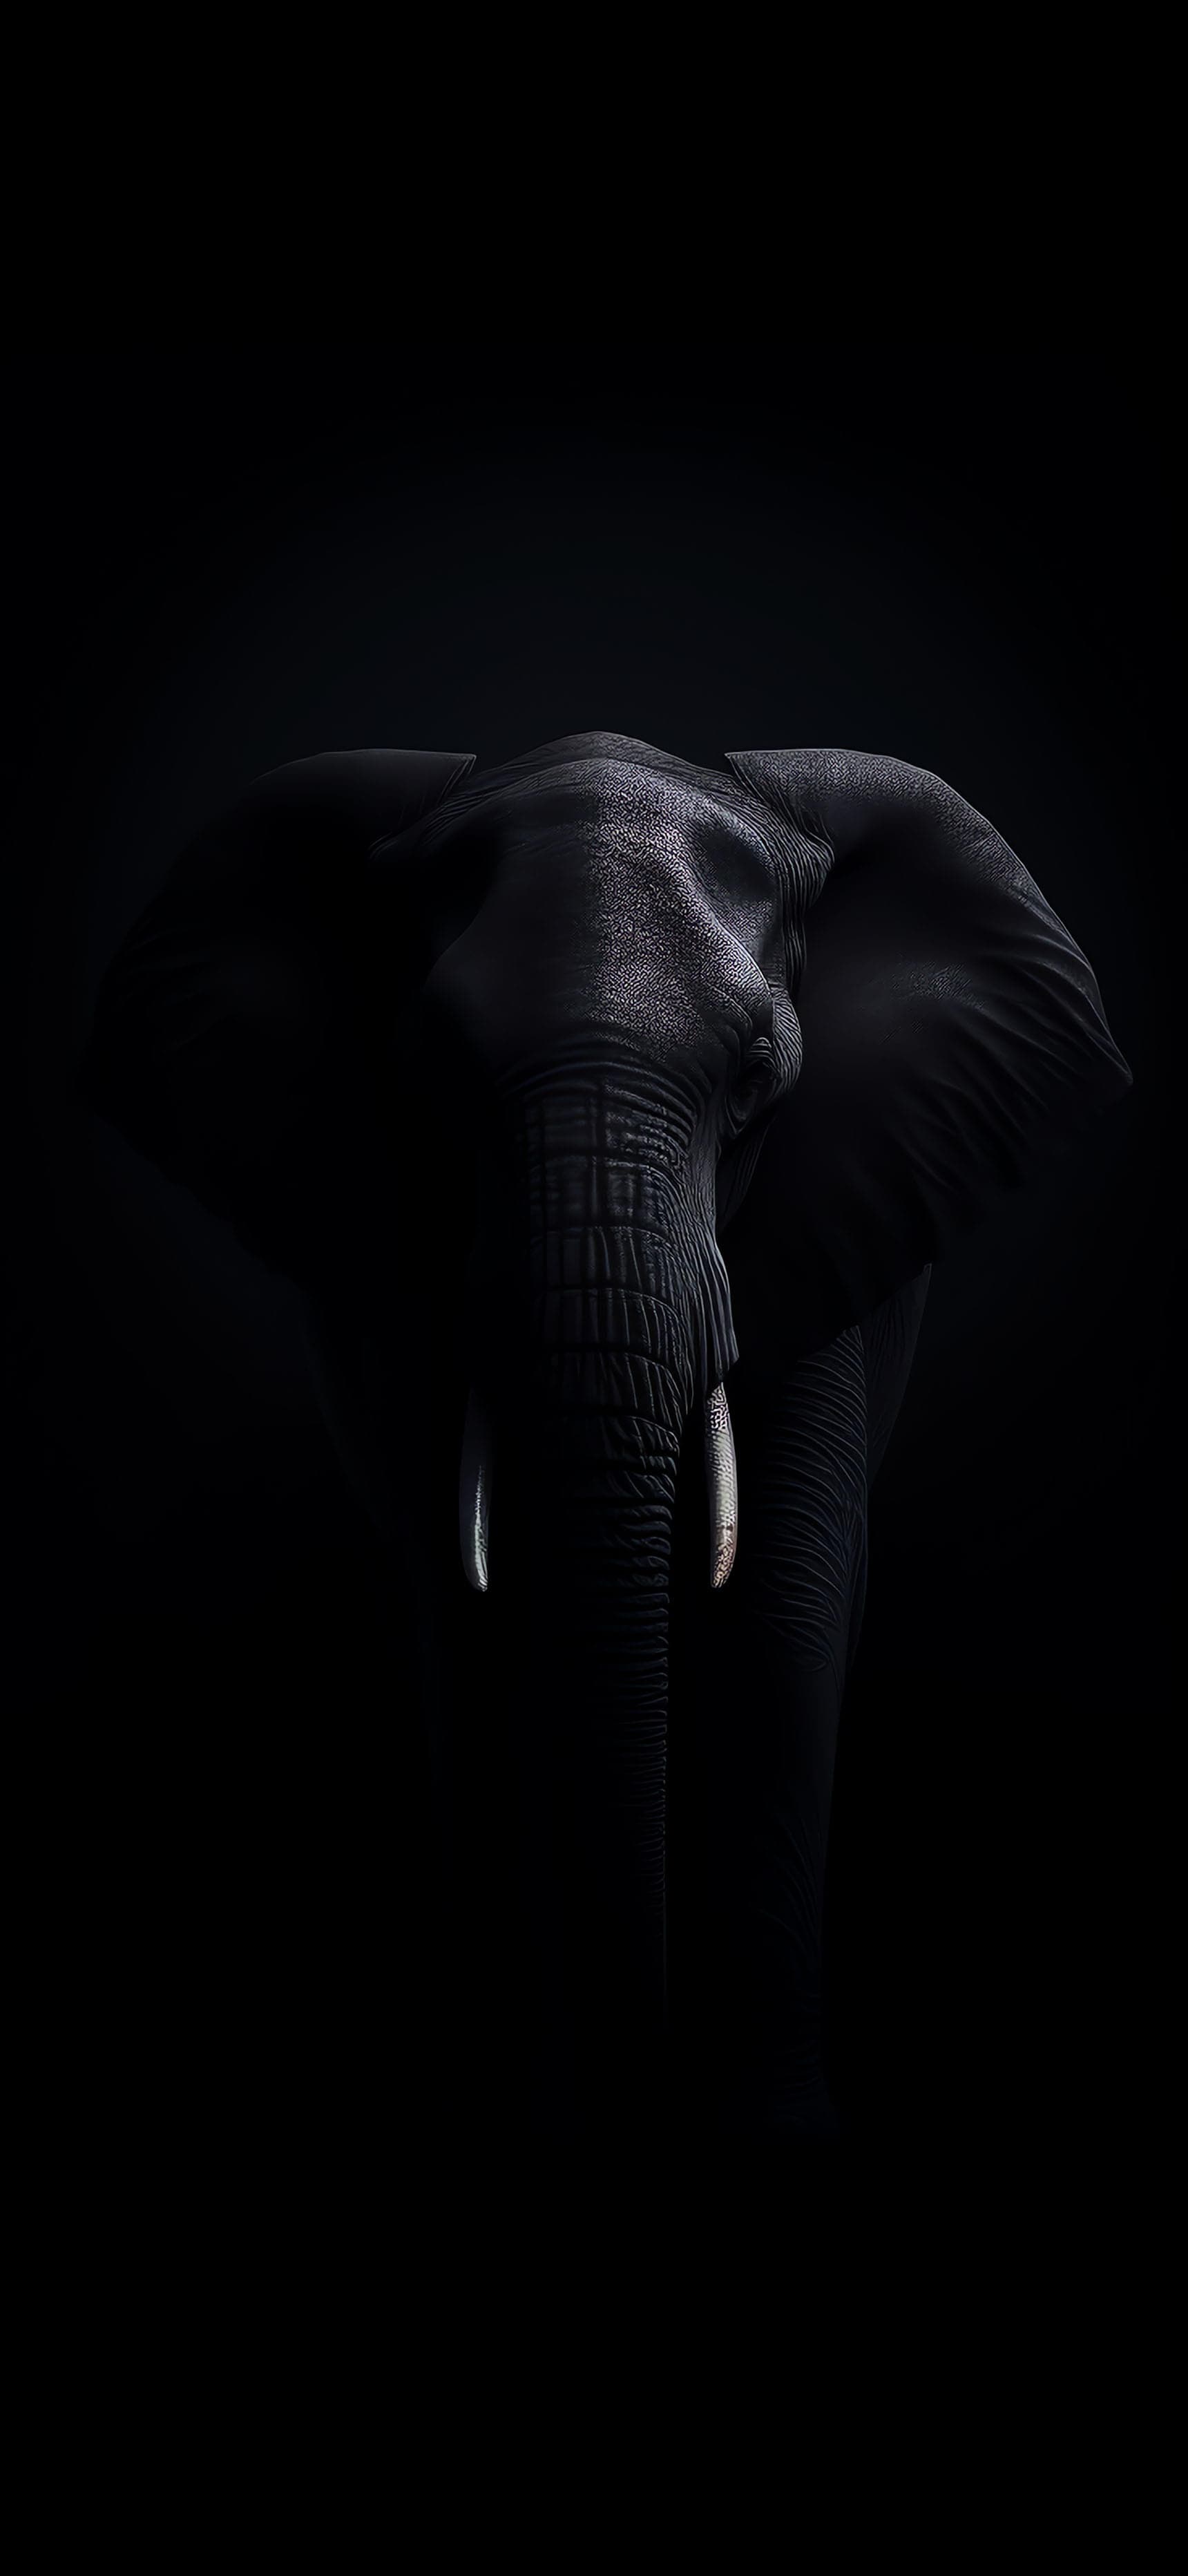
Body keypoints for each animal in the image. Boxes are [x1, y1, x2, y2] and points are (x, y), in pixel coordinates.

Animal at [75, 730, 1131, 2143]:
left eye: (756, 1078)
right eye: (430, 1075)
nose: (635, 2088)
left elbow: (781, 1613)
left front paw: (773, 2130)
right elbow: (471, 1621)